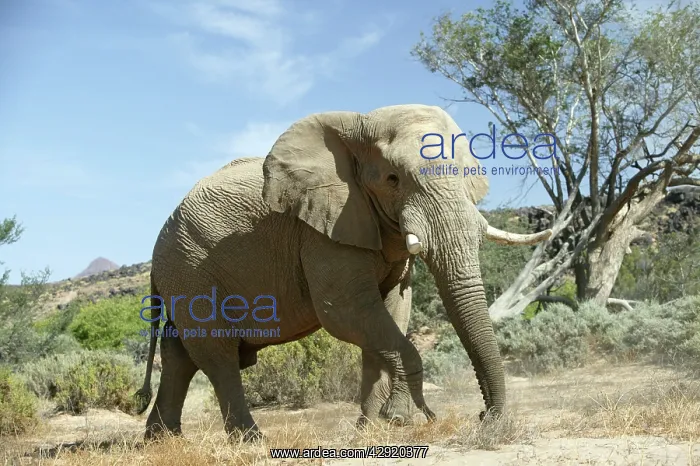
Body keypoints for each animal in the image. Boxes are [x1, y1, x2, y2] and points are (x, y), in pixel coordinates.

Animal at [133, 104, 552, 441]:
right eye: (392, 179)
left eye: (467, 174)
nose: (485, 417)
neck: (360, 124)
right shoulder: (321, 229)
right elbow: (346, 310)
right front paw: (400, 419)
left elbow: (392, 310)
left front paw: (371, 428)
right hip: (190, 266)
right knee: (216, 354)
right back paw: (251, 441)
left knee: (180, 351)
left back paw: (161, 441)